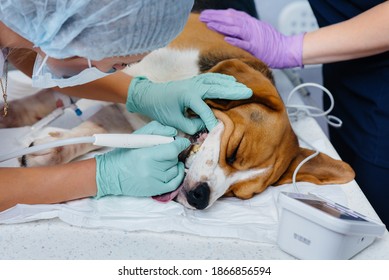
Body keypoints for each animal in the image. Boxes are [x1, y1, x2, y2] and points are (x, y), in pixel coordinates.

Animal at [0, 14, 354, 209]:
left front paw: (52, 151)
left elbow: (94, 130)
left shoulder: (128, 116)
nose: (200, 197)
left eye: (239, 194)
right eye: (236, 151)